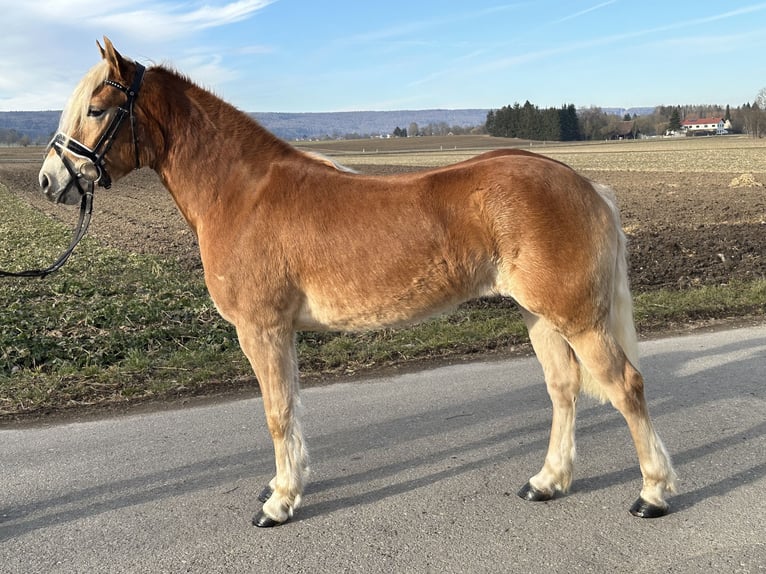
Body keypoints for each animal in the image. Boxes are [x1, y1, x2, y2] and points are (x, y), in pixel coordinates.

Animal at [39, 37, 676, 532]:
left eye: (96, 108)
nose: (50, 180)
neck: (242, 191)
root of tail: (585, 184)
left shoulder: (261, 330)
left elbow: (276, 412)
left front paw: (279, 503)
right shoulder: (280, 333)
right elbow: (290, 407)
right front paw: (287, 484)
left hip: (577, 318)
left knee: (625, 386)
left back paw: (652, 492)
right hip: (539, 315)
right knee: (564, 389)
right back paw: (548, 481)